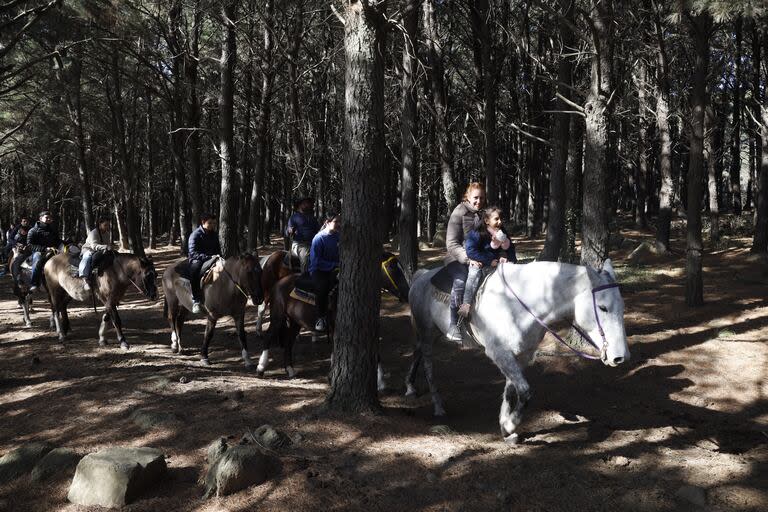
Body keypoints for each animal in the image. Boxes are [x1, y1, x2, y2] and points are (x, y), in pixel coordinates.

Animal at [256, 252, 414, 380]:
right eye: (392, 267)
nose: (407, 293)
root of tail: (278, 283)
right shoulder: (335, 327)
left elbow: (376, 352)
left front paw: (380, 380)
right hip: (278, 316)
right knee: (268, 337)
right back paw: (261, 368)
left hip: (295, 322)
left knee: (289, 342)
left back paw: (290, 369)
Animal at [408, 260, 632, 444]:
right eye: (602, 307)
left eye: (622, 307)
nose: (620, 357)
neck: (519, 305)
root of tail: (422, 276)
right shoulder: (500, 354)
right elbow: (524, 390)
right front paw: (509, 425)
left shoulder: (521, 355)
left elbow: (511, 390)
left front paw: (505, 427)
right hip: (427, 332)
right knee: (427, 365)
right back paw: (437, 406)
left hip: (435, 333)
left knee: (417, 351)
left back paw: (410, 387)